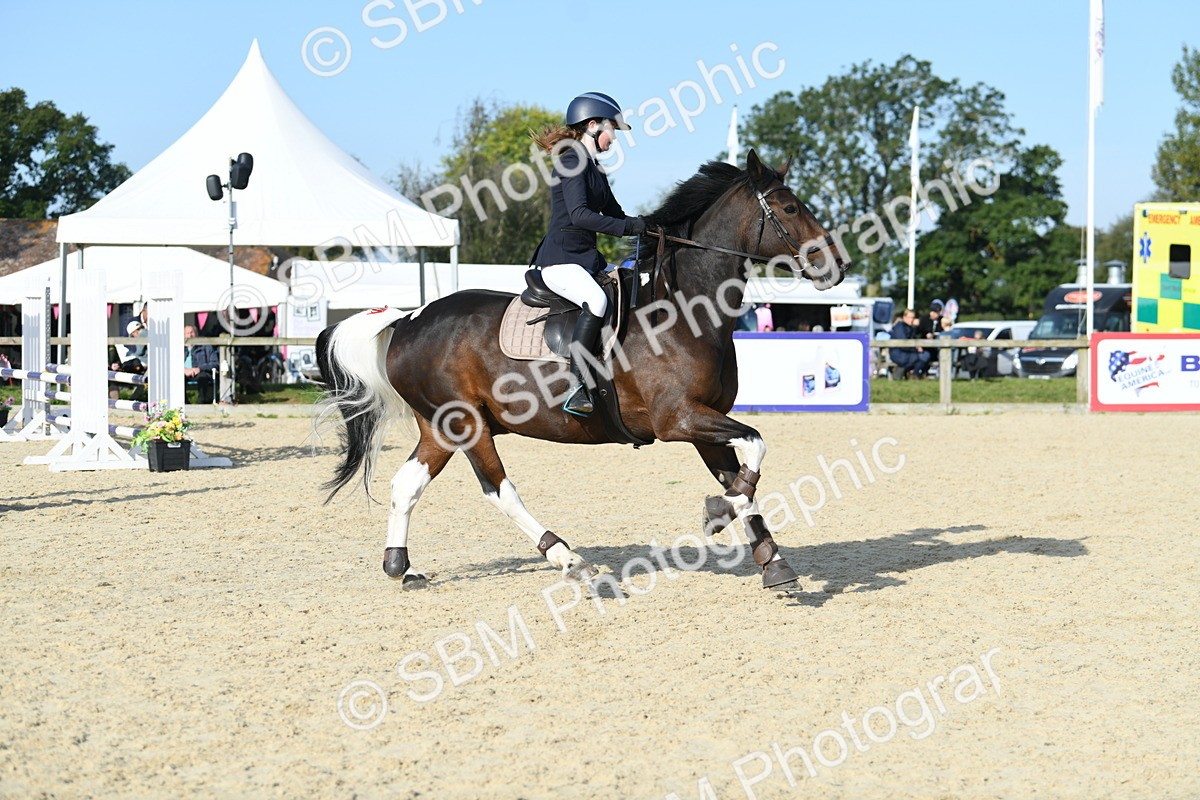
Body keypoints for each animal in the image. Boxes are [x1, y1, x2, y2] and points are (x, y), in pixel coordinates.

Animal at [316, 149, 850, 591]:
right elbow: (756, 446)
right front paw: (720, 516)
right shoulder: (678, 419)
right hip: (468, 425)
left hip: (441, 427)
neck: (685, 309)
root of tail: (409, 318)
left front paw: (771, 560)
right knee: (499, 491)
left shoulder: (704, 423)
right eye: (789, 209)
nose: (837, 266)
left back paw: (401, 566)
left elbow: (744, 479)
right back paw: (570, 560)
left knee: (407, 484)